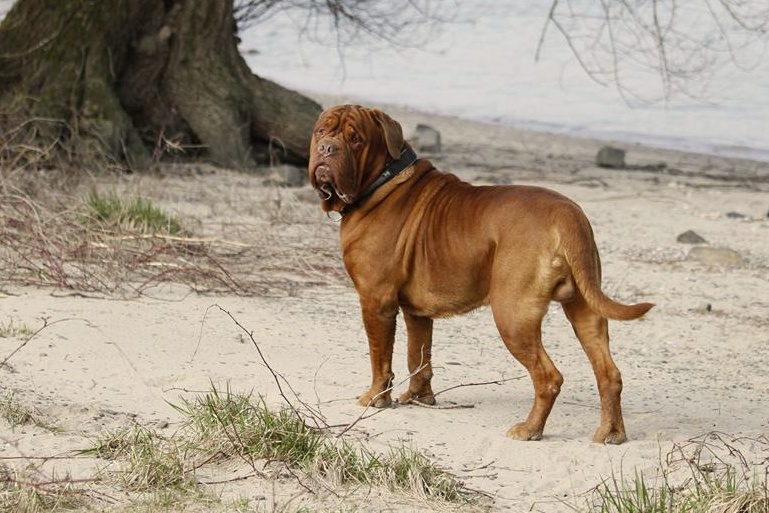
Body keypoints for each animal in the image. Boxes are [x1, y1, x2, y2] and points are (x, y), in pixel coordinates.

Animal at [308, 105, 652, 444]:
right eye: (321, 130)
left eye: (356, 139)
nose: (327, 148)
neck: (382, 180)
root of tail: (566, 214)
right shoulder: (416, 312)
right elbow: (418, 356)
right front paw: (419, 398)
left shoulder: (375, 301)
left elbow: (381, 356)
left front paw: (376, 398)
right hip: (585, 310)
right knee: (609, 373)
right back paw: (612, 433)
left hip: (512, 316)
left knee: (548, 377)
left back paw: (530, 429)